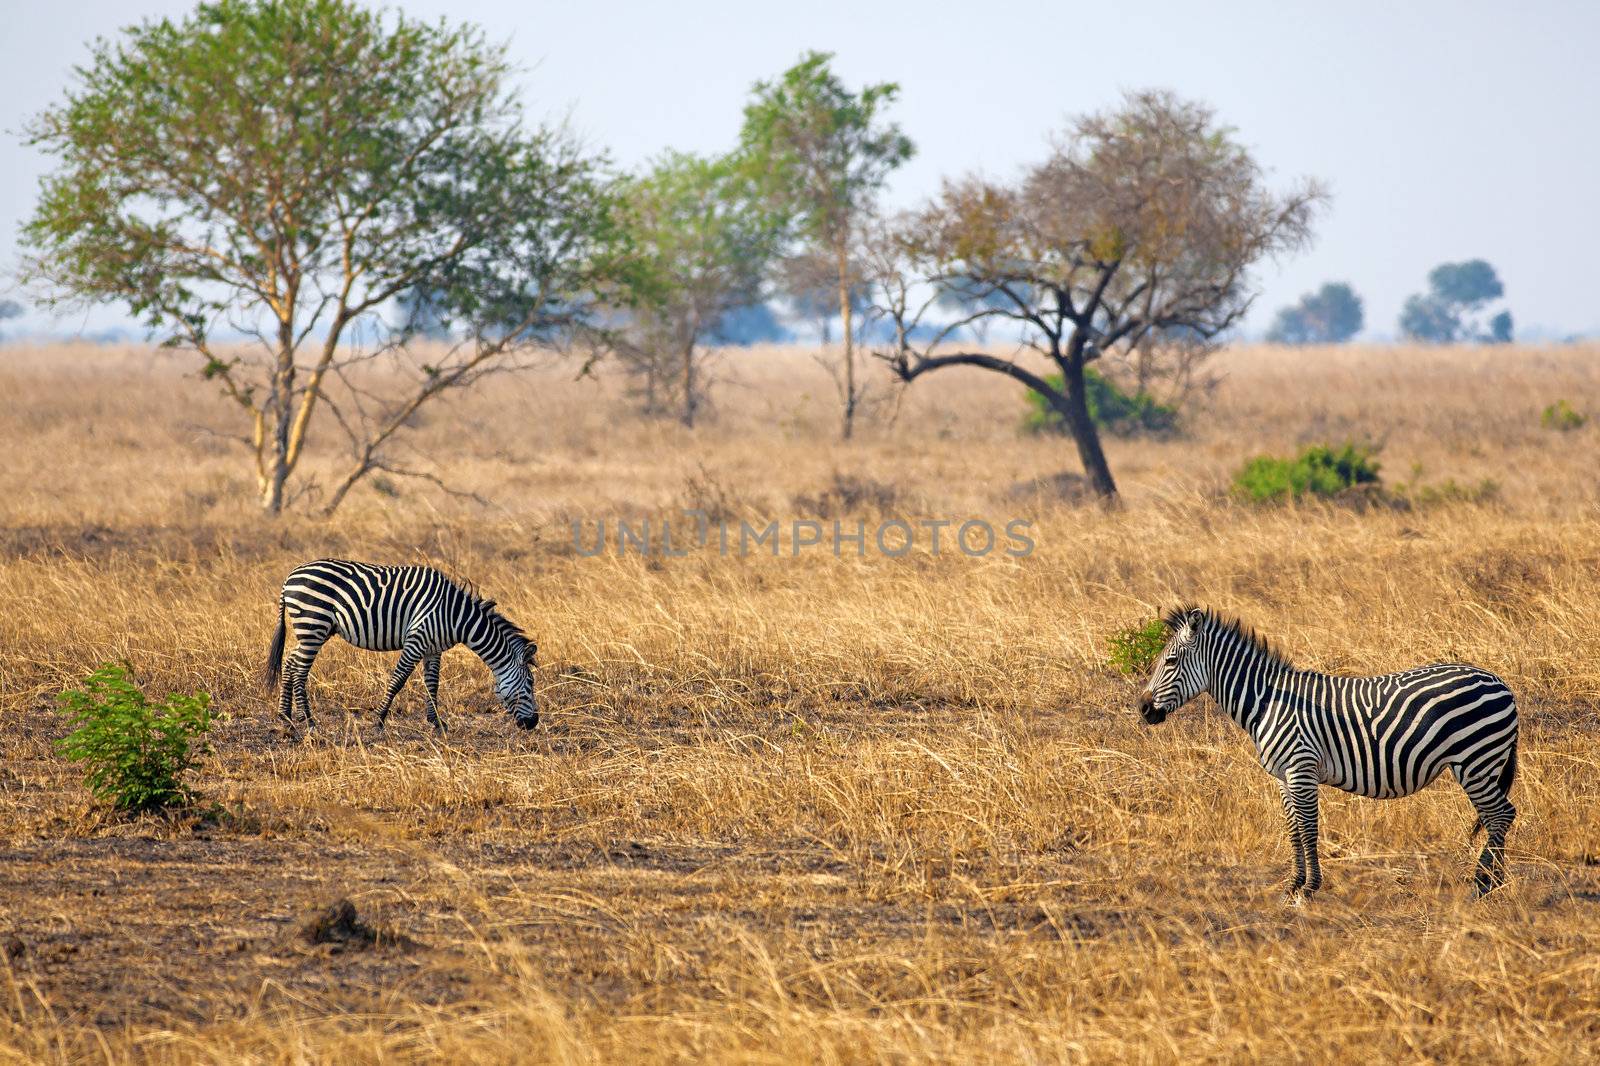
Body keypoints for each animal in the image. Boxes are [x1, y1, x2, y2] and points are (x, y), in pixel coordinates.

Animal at [262, 560, 537, 736]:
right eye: (530, 685)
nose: (534, 723)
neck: (457, 617)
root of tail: (291, 576)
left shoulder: (433, 648)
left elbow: (432, 683)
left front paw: (437, 722)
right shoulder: (417, 639)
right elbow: (398, 680)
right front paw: (379, 720)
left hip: (313, 630)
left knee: (290, 662)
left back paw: (286, 717)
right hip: (313, 624)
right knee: (300, 670)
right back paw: (308, 721)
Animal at [1132, 605, 1516, 896]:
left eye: (1170, 662)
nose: (1143, 709)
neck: (1268, 702)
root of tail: (1501, 683)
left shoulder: (1301, 769)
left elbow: (1308, 827)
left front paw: (1310, 887)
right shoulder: (1284, 777)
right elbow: (1292, 829)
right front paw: (1293, 884)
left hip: (1475, 760)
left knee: (1500, 815)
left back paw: (1483, 885)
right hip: (1484, 763)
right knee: (1500, 815)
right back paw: (1492, 881)